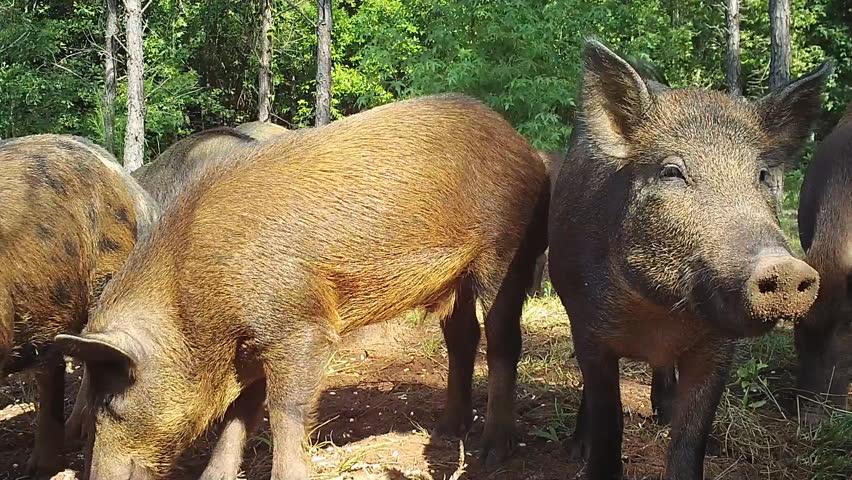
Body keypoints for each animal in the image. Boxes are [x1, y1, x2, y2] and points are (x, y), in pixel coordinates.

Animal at [56, 94, 548, 480]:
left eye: (112, 402)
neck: (194, 305)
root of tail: (525, 147)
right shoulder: (250, 347)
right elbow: (238, 417)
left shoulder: (301, 329)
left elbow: (284, 413)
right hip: (455, 278)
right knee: (461, 336)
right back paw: (447, 429)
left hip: (505, 248)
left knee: (503, 338)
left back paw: (492, 452)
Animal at [548, 41, 828, 480]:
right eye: (671, 172)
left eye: (763, 175)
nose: (784, 268)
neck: (660, 316)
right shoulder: (589, 328)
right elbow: (609, 417)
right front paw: (587, 454)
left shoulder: (718, 348)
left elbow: (692, 436)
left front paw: (675, 425)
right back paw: (578, 445)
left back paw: (662, 414)